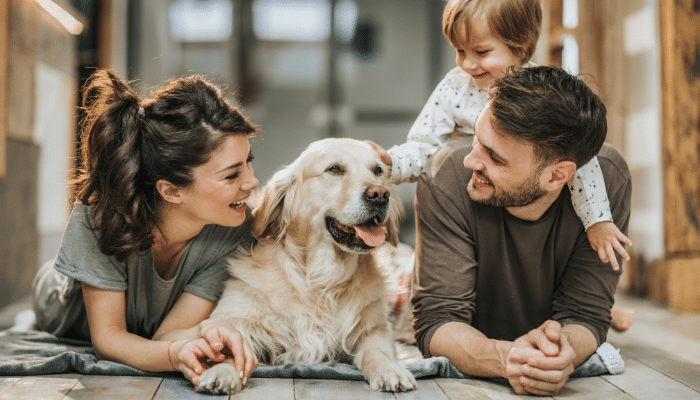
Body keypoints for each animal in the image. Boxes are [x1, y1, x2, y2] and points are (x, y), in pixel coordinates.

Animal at [197, 138, 416, 394]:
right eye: (334, 169)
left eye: (378, 171)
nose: (380, 194)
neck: (321, 278)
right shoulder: (232, 316)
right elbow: (231, 345)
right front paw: (222, 371)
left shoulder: (376, 328)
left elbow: (377, 351)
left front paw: (390, 369)